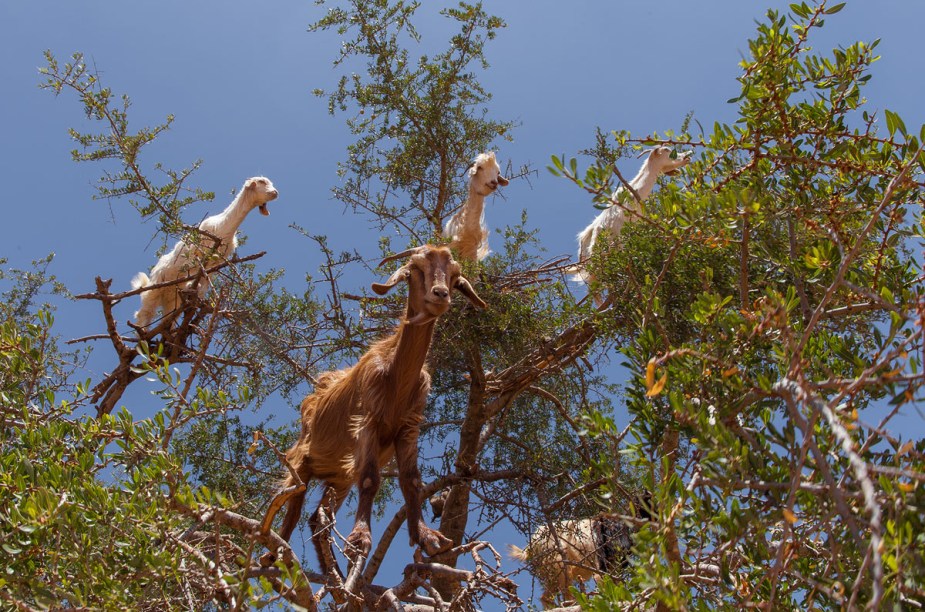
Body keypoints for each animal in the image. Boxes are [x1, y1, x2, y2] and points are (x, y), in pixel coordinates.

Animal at [132, 176, 278, 330]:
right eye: (262, 182)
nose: (275, 193)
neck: (223, 226)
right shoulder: (198, 254)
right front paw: (193, 288)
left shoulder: (215, 264)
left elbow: (205, 282)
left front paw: (200, 297)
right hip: (156, 286)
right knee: (144, 313)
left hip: (172, 300)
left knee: (167, 320)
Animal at [264, 245, 488, 580]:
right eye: (414, 270)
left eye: (454, 275)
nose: (440, 294)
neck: (396, 377)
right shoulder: (367, 420)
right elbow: (370, 479)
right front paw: (360, 539)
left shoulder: (409, 427)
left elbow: (412, 480)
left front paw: (427, 537)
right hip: (301, 460)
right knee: (291, 506)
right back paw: (275, 555)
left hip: (338, 476)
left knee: (318, 517)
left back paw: (334, 573)